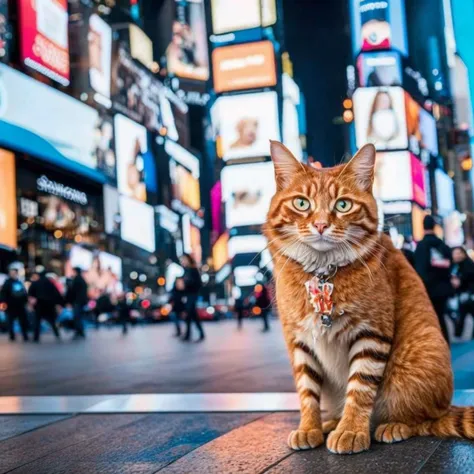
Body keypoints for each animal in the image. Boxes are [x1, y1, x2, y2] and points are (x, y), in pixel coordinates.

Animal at [264, 139, 472, 454]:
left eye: (343, 205)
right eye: (301, 203)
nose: (321, 225)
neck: (322, 274)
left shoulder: (371, 333)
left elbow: (360, 388)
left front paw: (350, 429)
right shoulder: (299, 340)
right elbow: (307, 391)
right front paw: (310, 427)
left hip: (418, 362)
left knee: (425, 420)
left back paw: (393, 425)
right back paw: (329, 422)